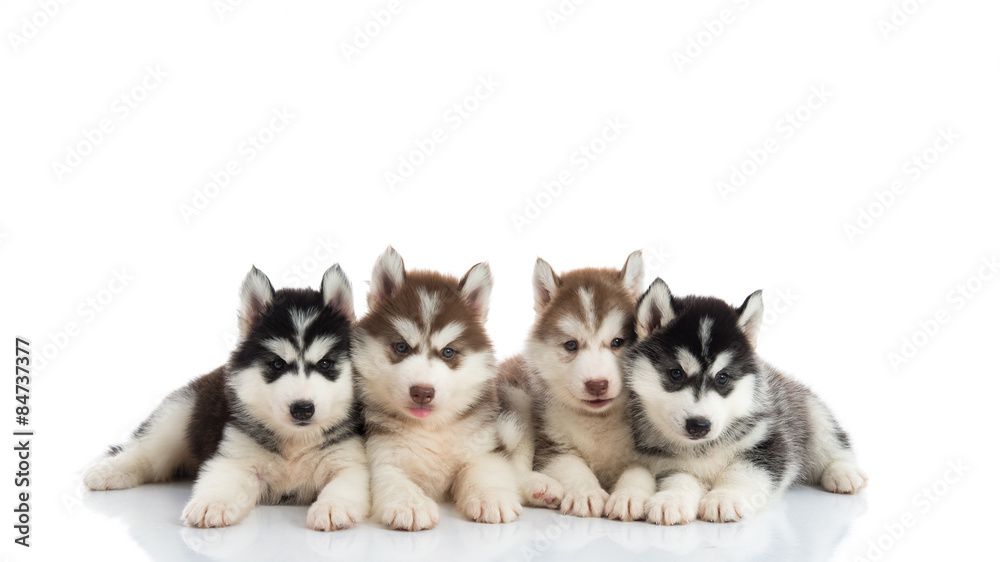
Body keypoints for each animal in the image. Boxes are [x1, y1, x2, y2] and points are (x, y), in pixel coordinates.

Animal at [83, 264, 372, 528]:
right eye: (277, 364)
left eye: (325, 364)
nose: (302, 408)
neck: (296, 441)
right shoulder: (235, 456)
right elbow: (222, 480)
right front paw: (211, 504)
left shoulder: (351, 461)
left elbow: (345, 483)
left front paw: (332, 507)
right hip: (178, 414)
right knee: (145, 451)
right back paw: (108, 472)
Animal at [354, 246, 524, 528]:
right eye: (401, 346)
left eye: (448, 352)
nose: (422, 392)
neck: (431, 429)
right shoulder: (382, 456)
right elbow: (393, 478)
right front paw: (410, 504)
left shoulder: (484, 448)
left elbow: (485, 470)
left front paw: (491, 497)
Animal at [500, 252, 656, 520]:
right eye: (571, 345)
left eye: (617, 342)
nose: (597, 385)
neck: (598, 421)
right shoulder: (552, 445)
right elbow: (573, 467)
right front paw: (586, 493)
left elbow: (638, 472)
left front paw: (628, 495)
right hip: (517, 401)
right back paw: (540, 487)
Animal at [624, 278, 868, 524]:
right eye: (676, 373)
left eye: (722, 377)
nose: (699, 425)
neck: (703, 448)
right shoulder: (666, 462)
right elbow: (680, 478)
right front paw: (672, 500)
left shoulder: (770, 440)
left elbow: (743, 471)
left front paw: (724, 498)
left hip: (810, 411)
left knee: (833, 441)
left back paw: (844, 472)